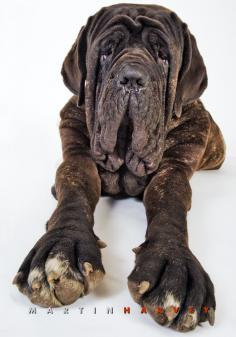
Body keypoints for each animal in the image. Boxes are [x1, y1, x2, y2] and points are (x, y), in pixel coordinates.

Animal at [12, 3, 225, 332]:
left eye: (163, 54)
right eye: (107, 50)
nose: (132, 78)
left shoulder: (177, 165)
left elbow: (169, 201)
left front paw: (174, 264)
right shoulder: (76, 149)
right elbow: (74, 186)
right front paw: (62, 247)